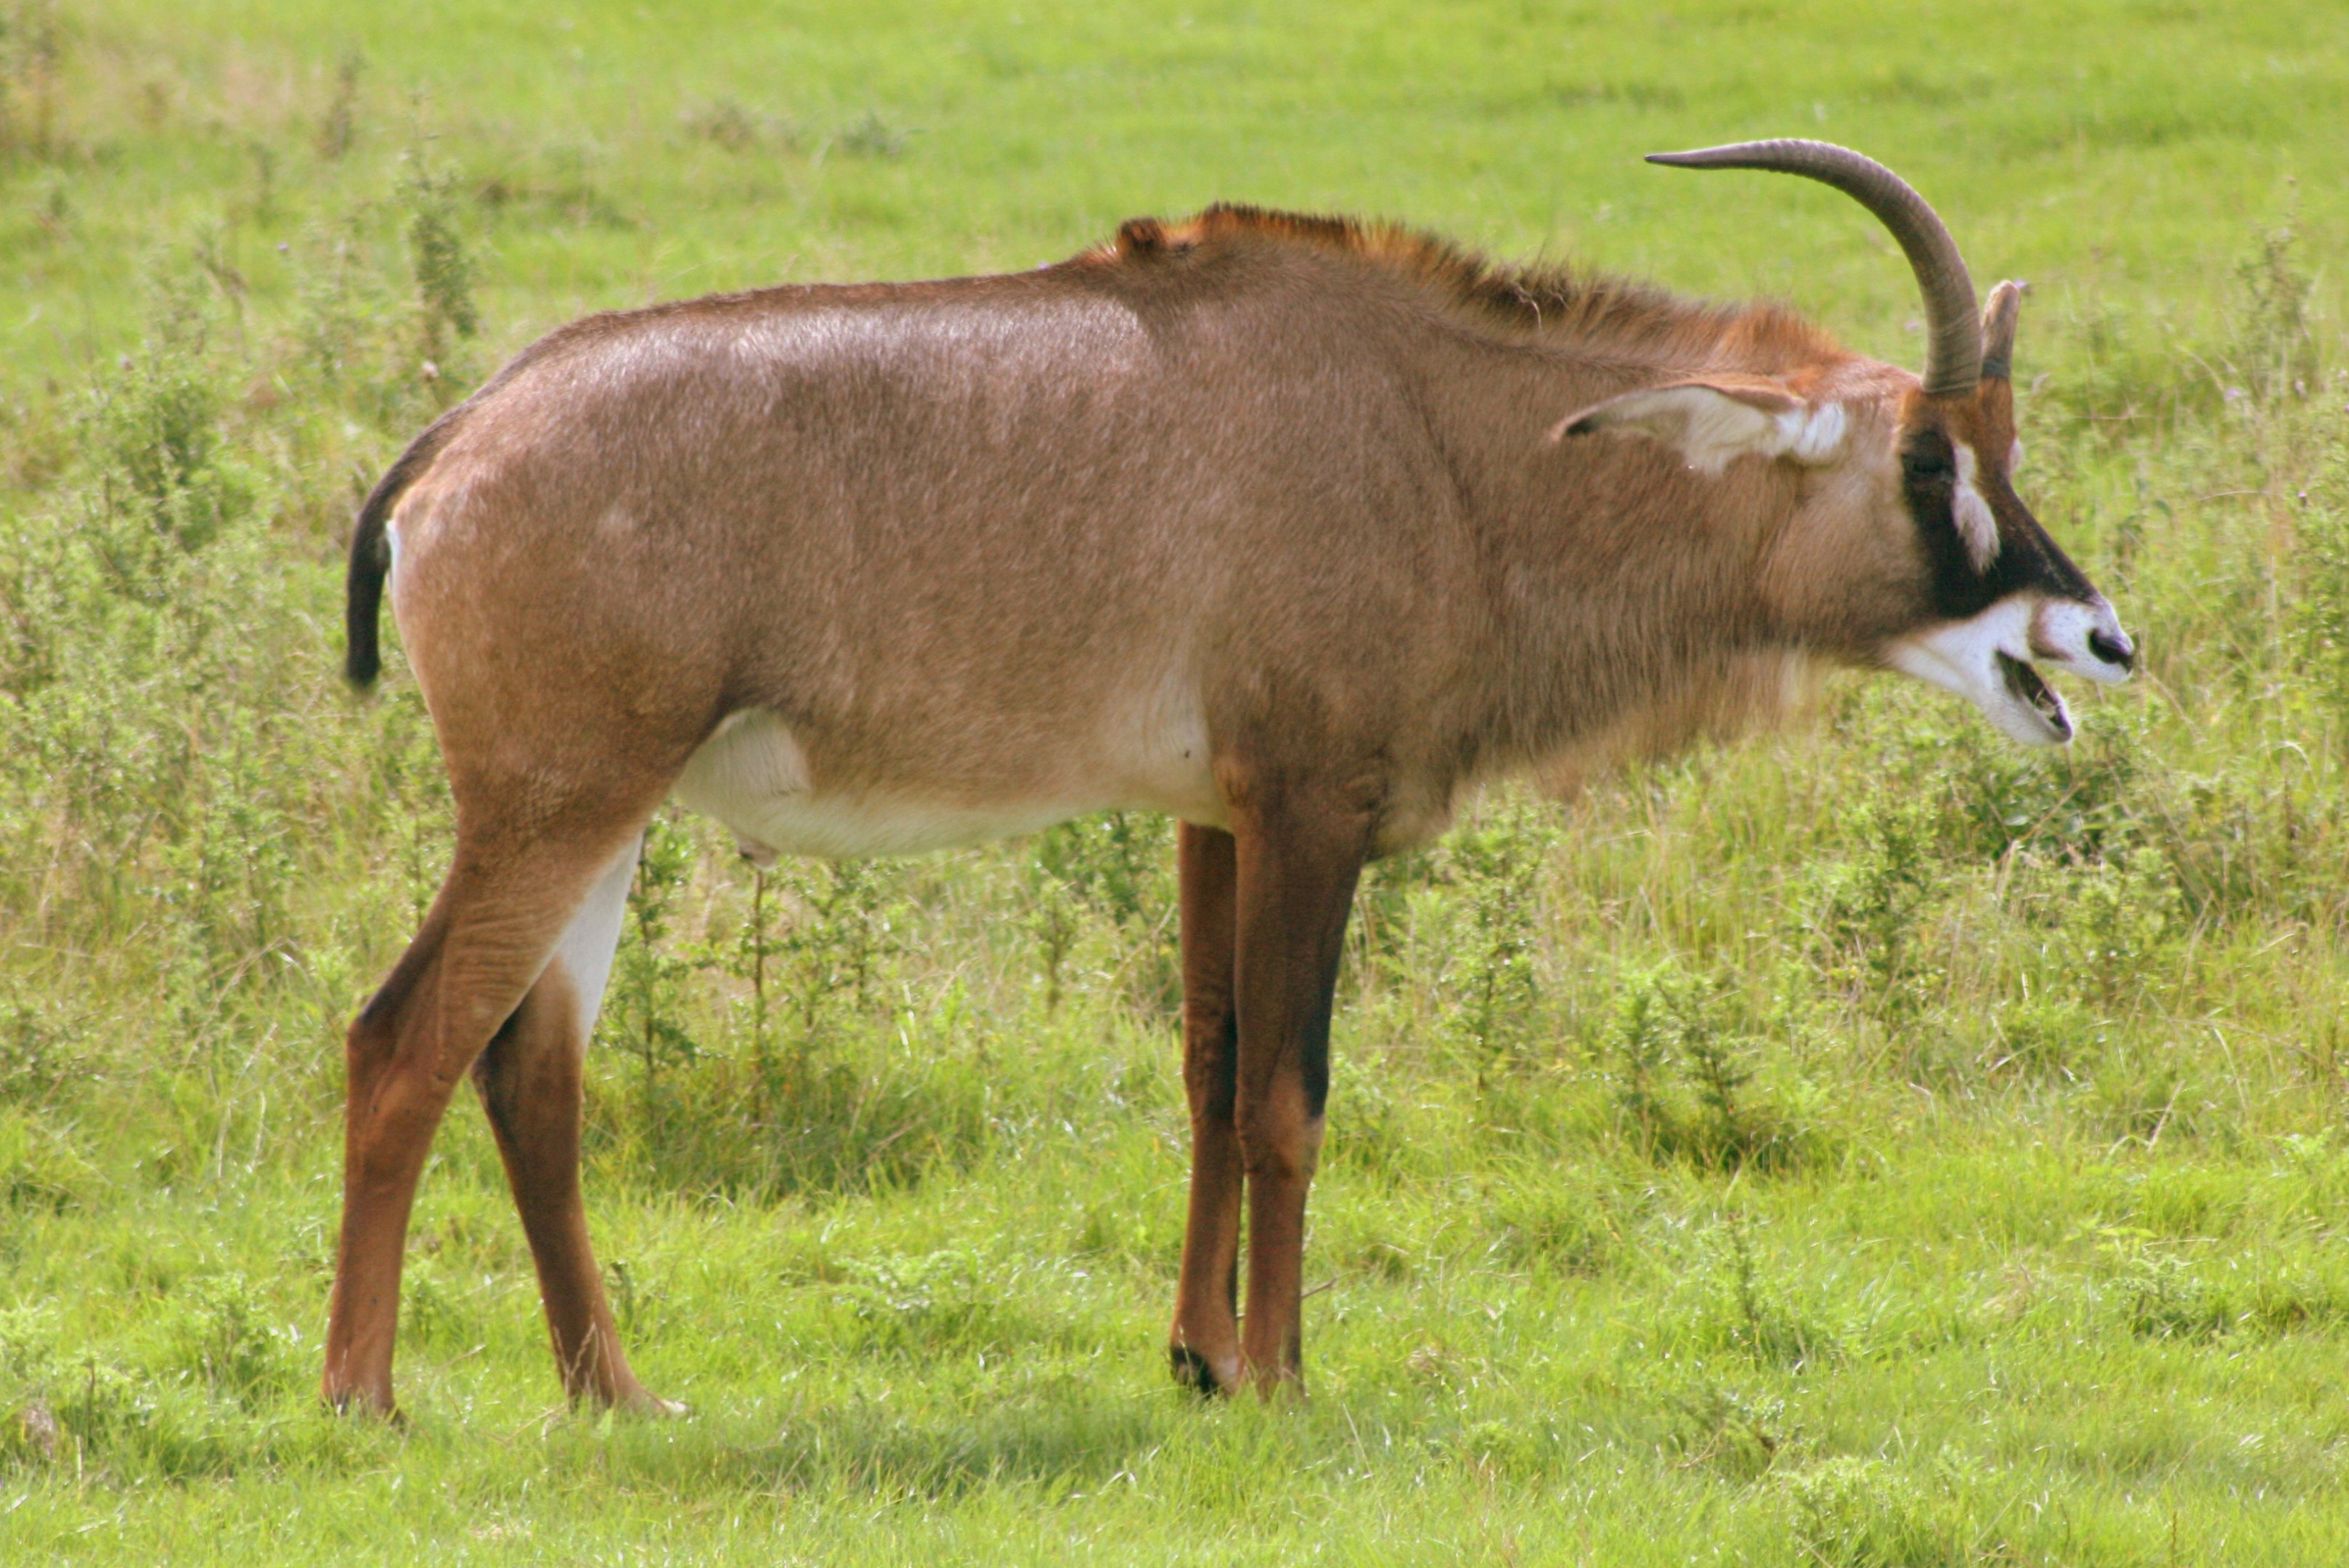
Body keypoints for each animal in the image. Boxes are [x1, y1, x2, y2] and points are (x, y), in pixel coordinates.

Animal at [325, 140, 2133, 1415]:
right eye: (1927, 460)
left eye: (2003, 445)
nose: (2099, 638)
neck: (1438, 438)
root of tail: (454, 445)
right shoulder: (1311, 807)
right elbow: (1289, 1093)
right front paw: (1281, 1378)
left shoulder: (1212, 815)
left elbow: (1206, 1069)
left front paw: (1195, 1359)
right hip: (553, 807)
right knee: (403, 1043)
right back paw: (367, 1402)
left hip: (608, 822)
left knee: (531, 1076)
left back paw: (617, 1398)